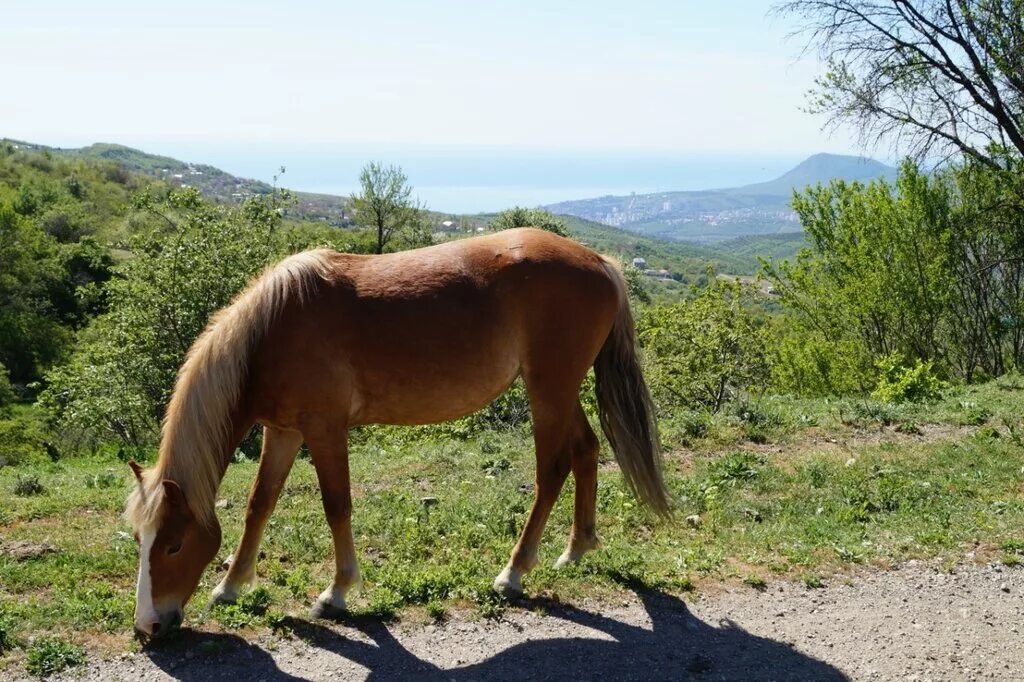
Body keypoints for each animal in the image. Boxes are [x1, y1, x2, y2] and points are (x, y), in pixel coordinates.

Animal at [123, 227, 667, 630]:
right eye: (139, 541)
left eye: (173, 544)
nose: (148, 626)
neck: (272, 332)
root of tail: (600, 261)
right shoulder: (284, 431)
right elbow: (260, 504)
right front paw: (230, 586)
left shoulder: (324, 430)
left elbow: (336, 506)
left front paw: (337, 592)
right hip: (560, 390)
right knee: (586, 450)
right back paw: (576, 548)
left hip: (548, 391)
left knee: (551, 471)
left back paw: (513, 572)